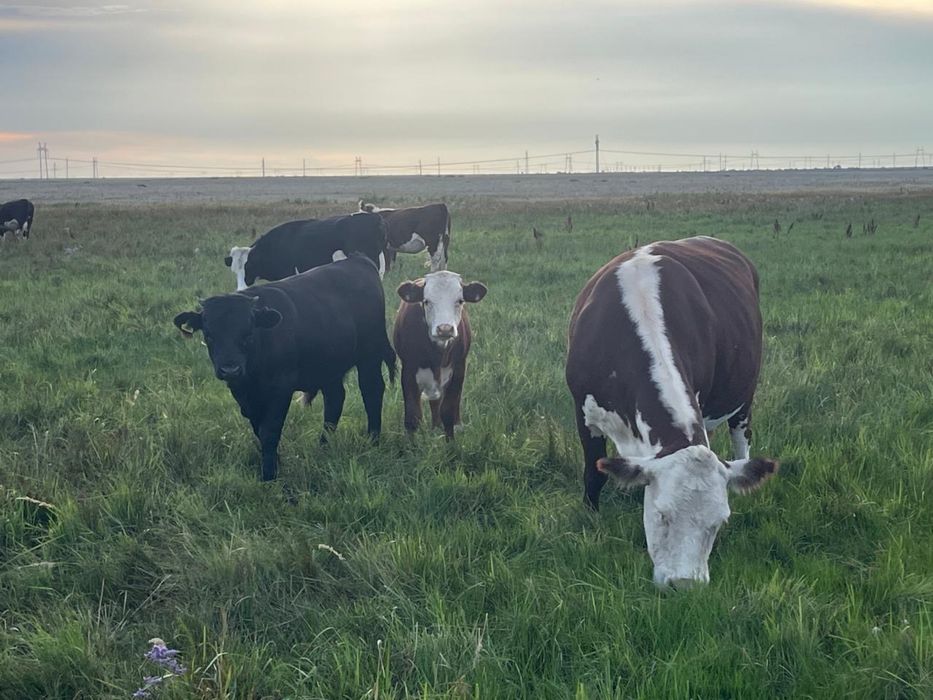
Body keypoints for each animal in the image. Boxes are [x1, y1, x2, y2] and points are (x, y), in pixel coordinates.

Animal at [174, 252, 396, 481]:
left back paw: (373, 440)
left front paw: (269, 475)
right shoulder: (245, 395)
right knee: (335, 399)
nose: (230, 369)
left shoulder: (281, 388)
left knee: (371, 391)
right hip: (329, 366)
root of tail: (358, 259)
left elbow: (269, 430)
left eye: (248, 333)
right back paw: (324, 445)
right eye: (209, 335)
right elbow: (258, 428)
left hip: (369, 355)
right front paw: (275, 463)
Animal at [393, 271, 487, 439]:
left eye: (460, 301)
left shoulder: (458, 369)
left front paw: (451, 443)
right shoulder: (408, 371)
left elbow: (448, 410)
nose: (445, 329)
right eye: (426, 301)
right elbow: (413, 416)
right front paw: (411, 445)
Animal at [566, 236, 778, 588]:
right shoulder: (584, 411)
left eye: (719, 523)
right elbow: (593, 475)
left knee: (741, 436)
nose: (685, 585)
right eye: (662, 514)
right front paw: (591, 520)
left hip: (745, 394)